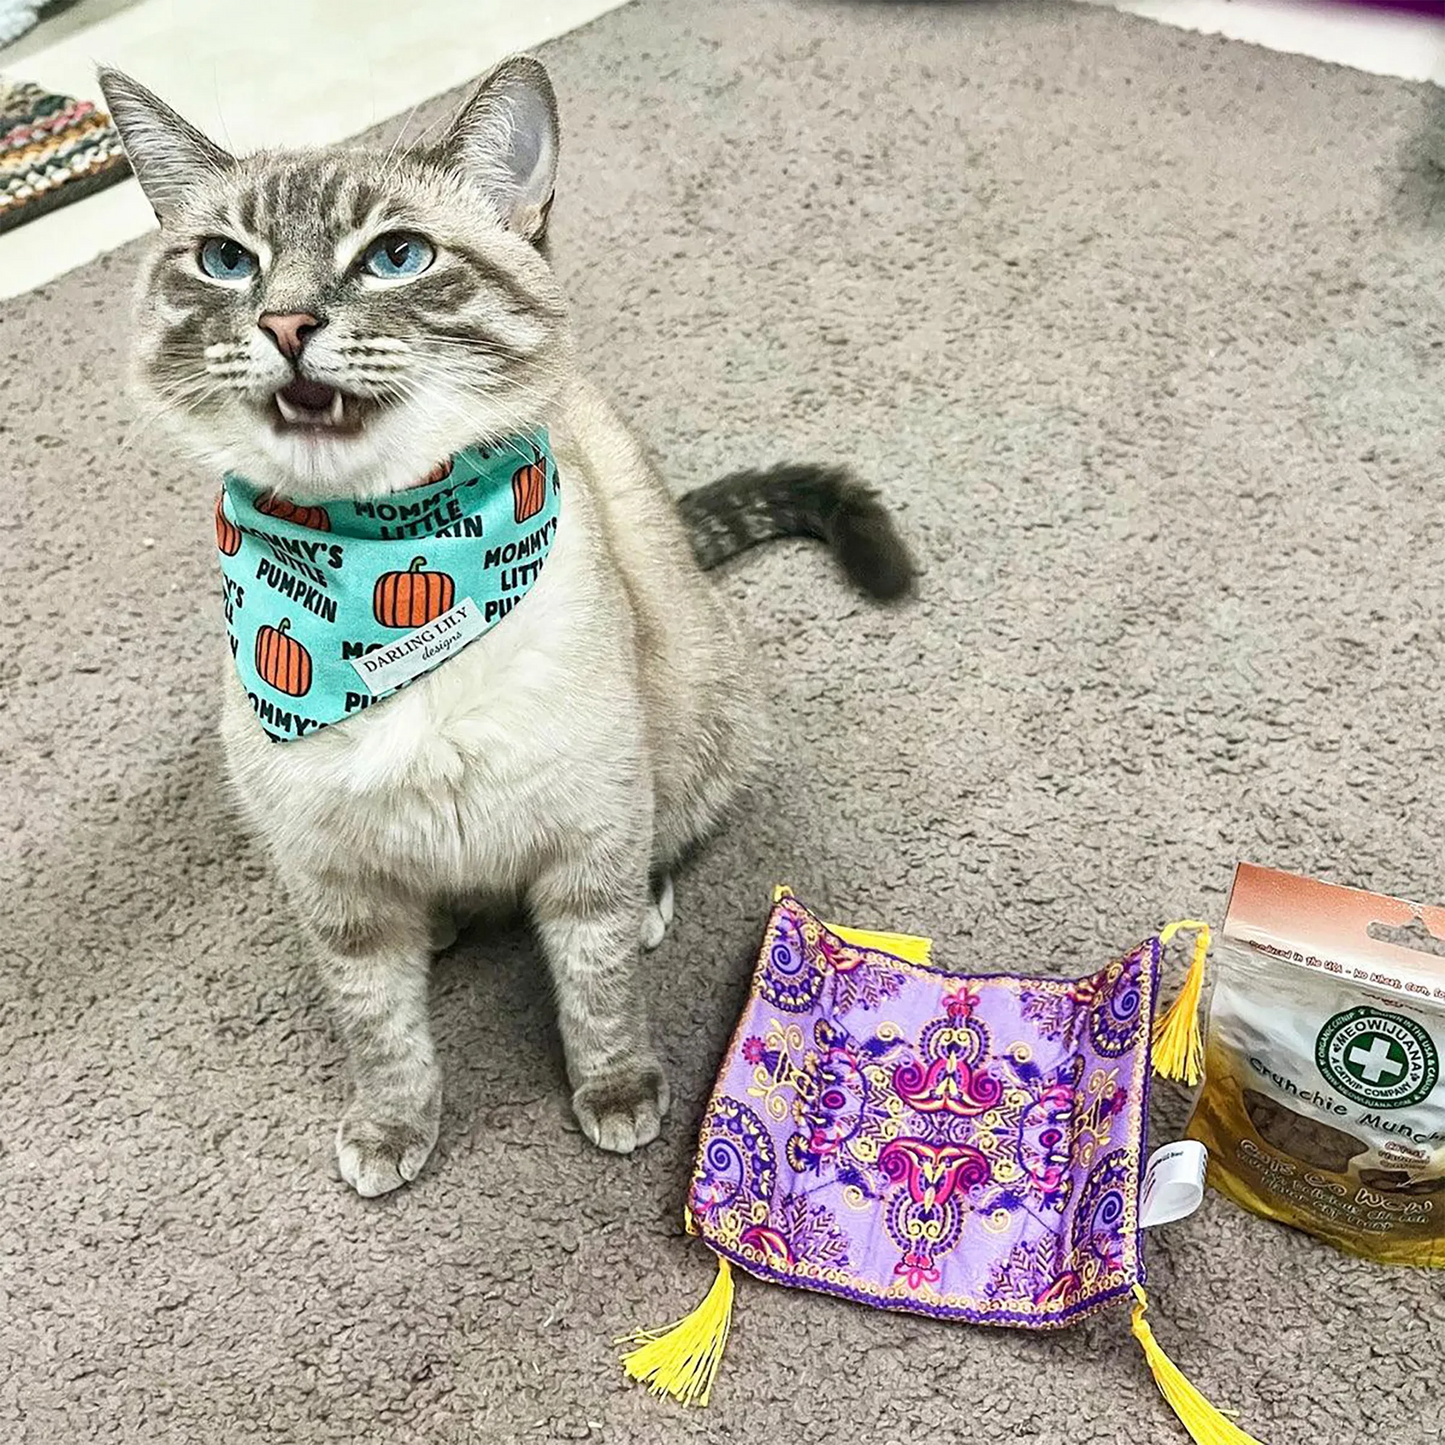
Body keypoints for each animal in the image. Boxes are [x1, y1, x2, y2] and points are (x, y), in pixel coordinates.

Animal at [98, 56, 913, 1196]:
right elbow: (383, 1035)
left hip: (687, 726)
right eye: (225, 262)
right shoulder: (340, 895)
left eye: (396, 257)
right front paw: (393, 1131)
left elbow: (596, 995)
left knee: (663, 836)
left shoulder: (584, 841)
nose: (287, 324)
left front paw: (614, 1099)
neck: (394, 576)